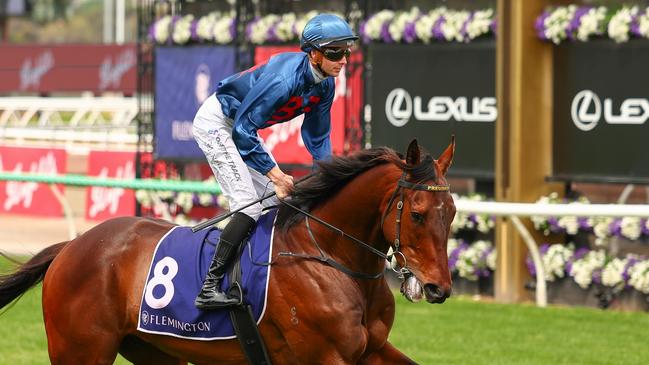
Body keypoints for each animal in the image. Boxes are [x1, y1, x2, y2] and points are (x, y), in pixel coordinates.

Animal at [0, 138, 456, 362]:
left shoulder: (371, 349)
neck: (332, 257)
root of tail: (72, 247)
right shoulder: (326, 356)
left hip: (154, 351)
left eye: (451, 212)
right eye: (418, 214)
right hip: (81, 350)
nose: (439, 289)